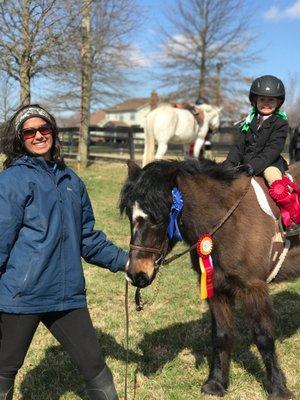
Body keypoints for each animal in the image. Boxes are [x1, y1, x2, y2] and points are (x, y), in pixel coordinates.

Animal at [120, 158, 300, 398]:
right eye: (130, 217)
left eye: (158, 218)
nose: (136, 274)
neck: (229, 222)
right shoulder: (217, 288)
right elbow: (221, 336)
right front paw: (216, 384)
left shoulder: (253, 288)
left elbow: (264, 338)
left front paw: (279, 388)